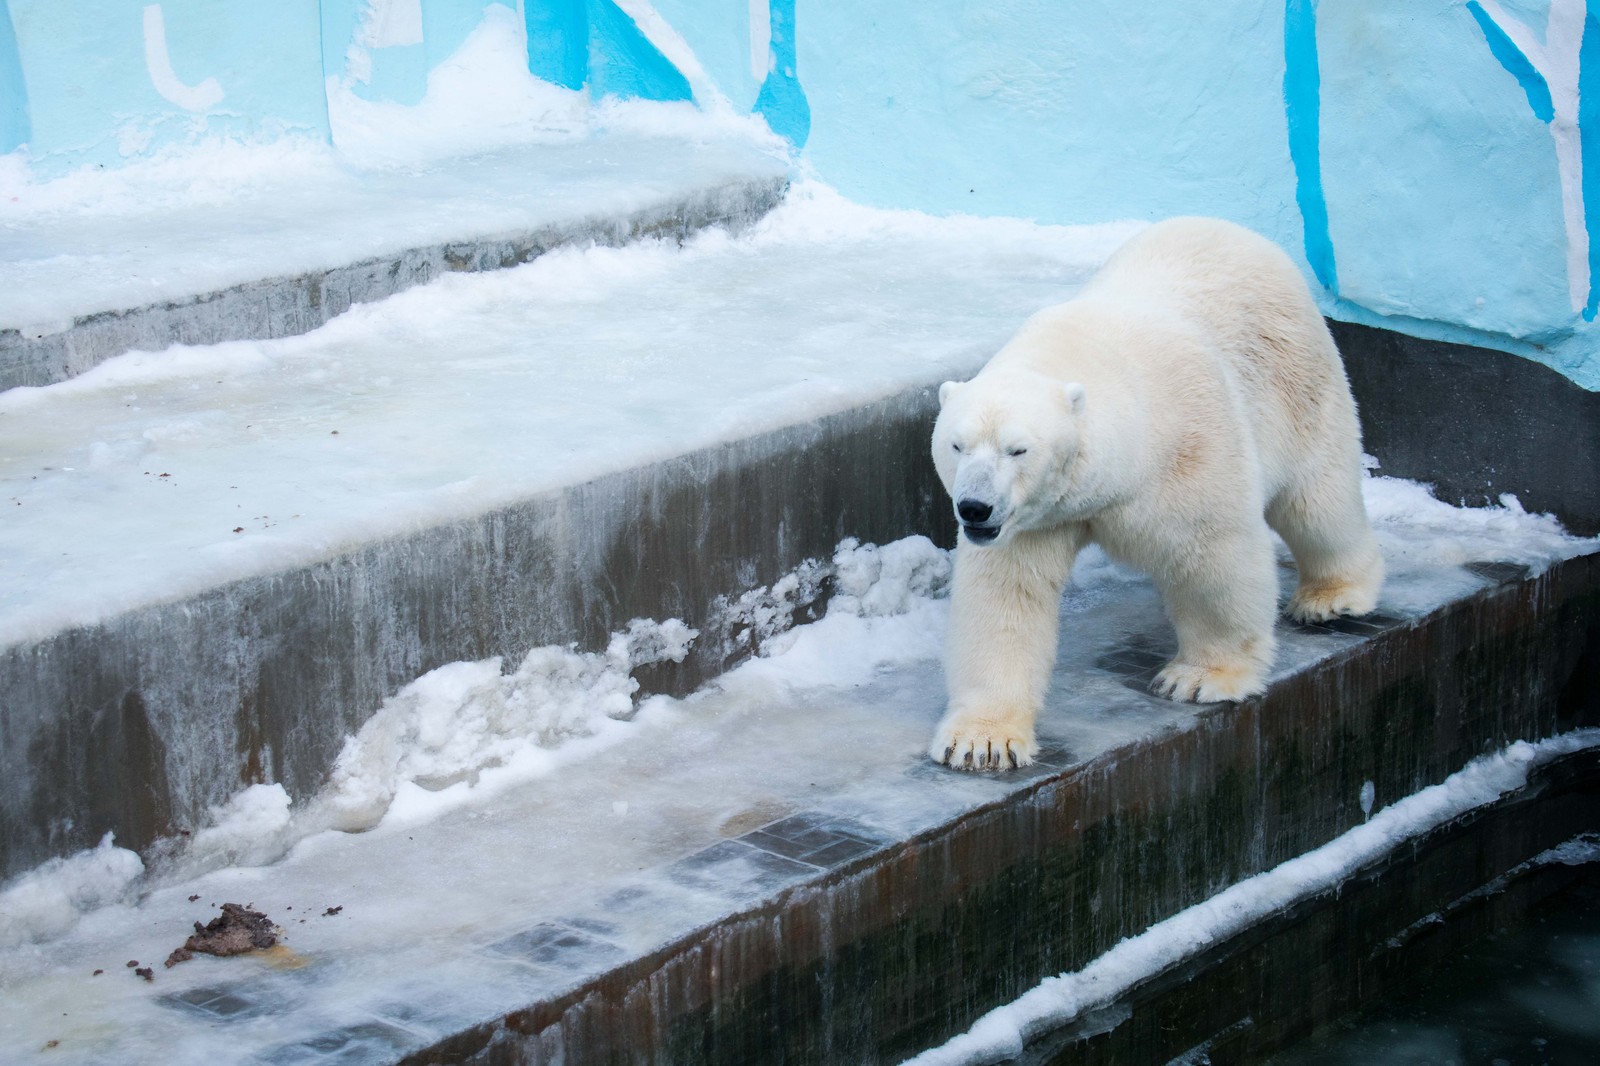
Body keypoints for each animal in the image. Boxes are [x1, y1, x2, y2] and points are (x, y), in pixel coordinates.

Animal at [934, 216, 1382, 768]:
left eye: (1017, 450)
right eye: (958, 444)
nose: (974, 508)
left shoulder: (1189, 448)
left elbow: (1215, 557)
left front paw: (1199, 678)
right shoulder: (1033, 521)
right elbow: (1004, 598)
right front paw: (982, 741)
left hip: (1295, 374)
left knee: (1317, 498)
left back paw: (1331, 597)